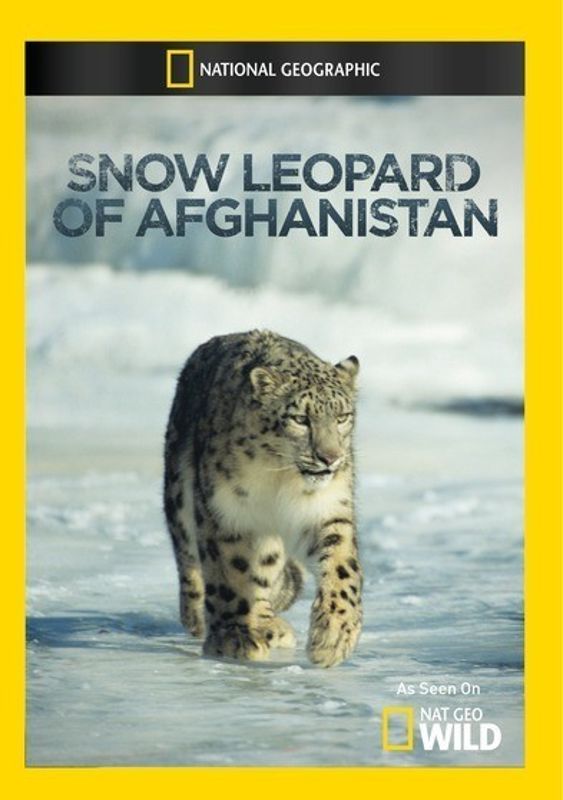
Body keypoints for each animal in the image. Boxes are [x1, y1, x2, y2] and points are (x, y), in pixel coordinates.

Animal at [163, 329, 363, 667]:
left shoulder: (327, 509)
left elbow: (342, 567)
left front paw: (333, 636)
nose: (330, 458)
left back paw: (270, 624)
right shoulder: (226, 513)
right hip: (179, 494)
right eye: (300, 419)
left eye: (342, 416)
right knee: (189, 561)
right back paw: (202, 617)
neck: (282, 481)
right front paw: (233, 638)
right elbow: (230, 572)